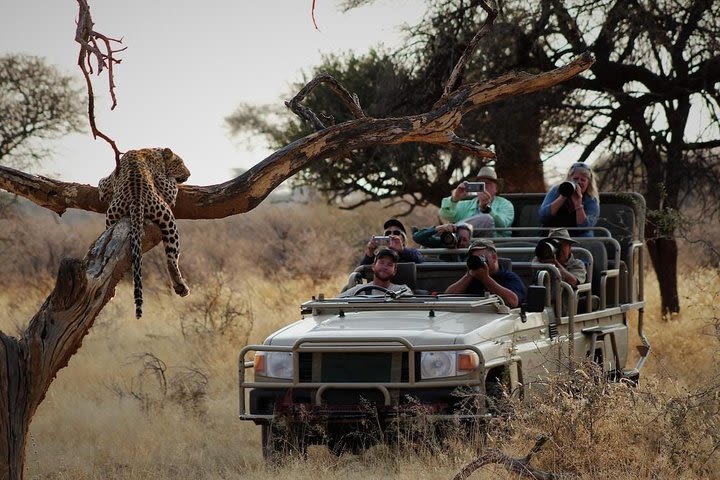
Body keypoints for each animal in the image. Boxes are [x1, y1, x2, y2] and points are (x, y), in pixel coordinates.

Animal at [100, 148, 194, 316]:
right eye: (179, 163)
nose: (189, 174)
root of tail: (136, 199)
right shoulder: (167, 189)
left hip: (113, 217)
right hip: (167, 215)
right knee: (172, 257)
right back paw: (181, 286)